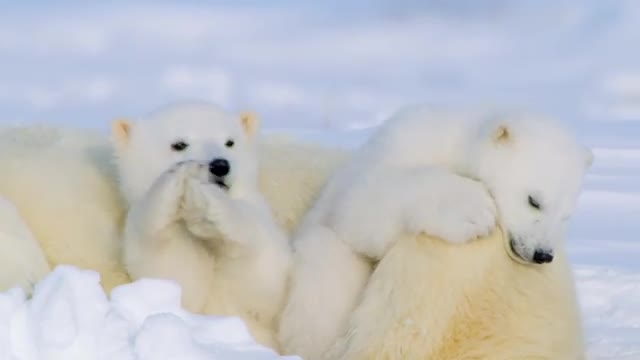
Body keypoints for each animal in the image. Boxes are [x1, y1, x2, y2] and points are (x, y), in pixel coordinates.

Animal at [278, 105, 592, 358]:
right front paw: (473, 210)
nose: (543, 254)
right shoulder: (402, 144)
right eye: (534, 201)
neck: (455, 146)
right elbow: (359, 209)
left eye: (565, 215)